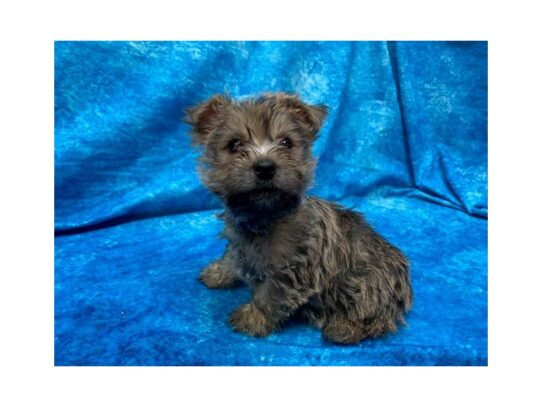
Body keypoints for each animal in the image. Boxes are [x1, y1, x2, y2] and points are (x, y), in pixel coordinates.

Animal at [185, 92, 414, 344]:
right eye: (234, 145)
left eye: (286, 143)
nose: (265, 167)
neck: (264, 218)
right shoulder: (239, 239)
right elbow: (232, 255)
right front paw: (220, 272)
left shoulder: (292, 270)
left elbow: (270, 296)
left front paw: (253, 318)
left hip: (368, 283)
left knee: (375, 317)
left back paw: (344, 327)